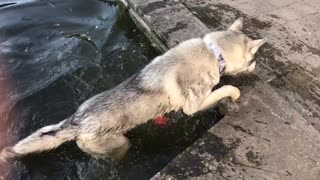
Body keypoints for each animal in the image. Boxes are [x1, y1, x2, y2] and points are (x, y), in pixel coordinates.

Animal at [0, 17, 268, 162]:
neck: (215, 53)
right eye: (254, 58)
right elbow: (227, 88)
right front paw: (235, 94)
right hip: (120, 145)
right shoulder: (193, 105)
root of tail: (76, 122)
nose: (257, 68)